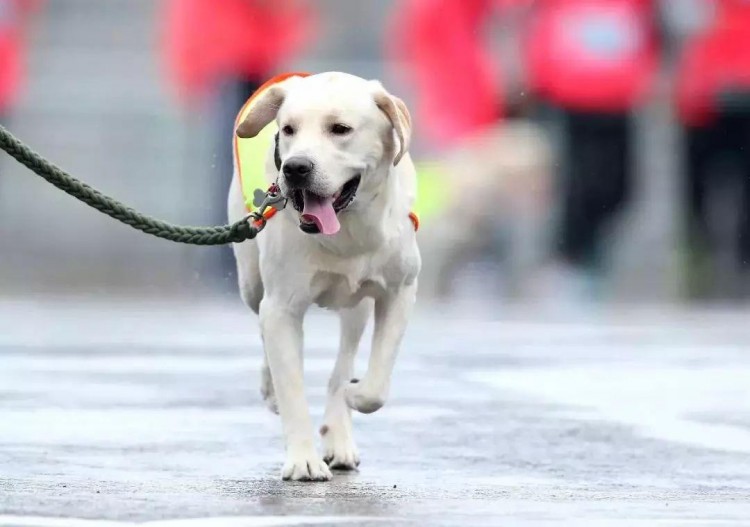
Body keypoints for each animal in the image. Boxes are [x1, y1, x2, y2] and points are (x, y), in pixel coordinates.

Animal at [226, 73, 420, 482]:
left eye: (340, 129)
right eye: (288, 129)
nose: (296, 167)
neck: (347, 232)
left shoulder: (400, 292)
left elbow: (376, 386)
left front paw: (355, 394)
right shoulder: (281, 308)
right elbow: (292, 388)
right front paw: (303, 460)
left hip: (356, 307)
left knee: (342, 363)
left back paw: (339, 433)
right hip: (251, 283)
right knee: (262, 326)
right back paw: (272, 390)